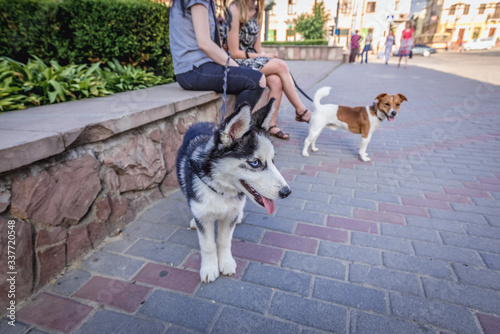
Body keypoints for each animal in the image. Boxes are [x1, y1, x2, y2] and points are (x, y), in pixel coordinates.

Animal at [178, 99, 292, 282]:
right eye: (255, 163)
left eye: (272, 160)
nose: (287, 192)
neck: (220, 190)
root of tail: (202, 122)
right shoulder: (204, 216)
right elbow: (208, 245)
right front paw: (209, 268)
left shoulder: (229, 217)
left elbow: (224, 241)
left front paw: (225, 263)